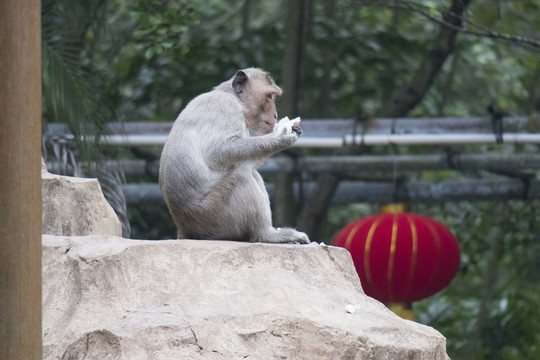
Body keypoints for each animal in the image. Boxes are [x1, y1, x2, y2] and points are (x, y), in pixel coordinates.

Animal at [158, 68, 310, 245]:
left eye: (274, 96)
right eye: (269, 96)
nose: (275, 115)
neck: (231, 96)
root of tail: (184, 229)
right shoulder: (226, 107)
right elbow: (219, 151)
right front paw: (281, 137)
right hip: (213, 215)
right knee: (241, 178)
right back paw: (266, 234)